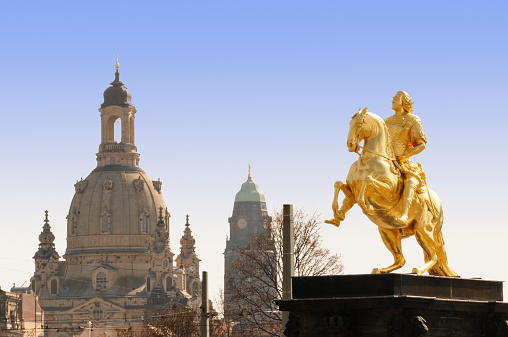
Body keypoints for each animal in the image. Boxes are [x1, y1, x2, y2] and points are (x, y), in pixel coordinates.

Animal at [328, 107, 458, 276]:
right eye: (349, 123)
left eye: (359, 124)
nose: (350, 145)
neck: (369, 160)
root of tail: (439, 207)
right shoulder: (351, 190)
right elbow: (339, 185)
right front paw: (337, 215)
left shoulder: (388, 192)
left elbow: (368, 180)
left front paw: (366, 206)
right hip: (387, 232)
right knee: (400, 259)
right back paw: (381, 269)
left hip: (423, 230)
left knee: (433, 256)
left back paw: (418, 269)